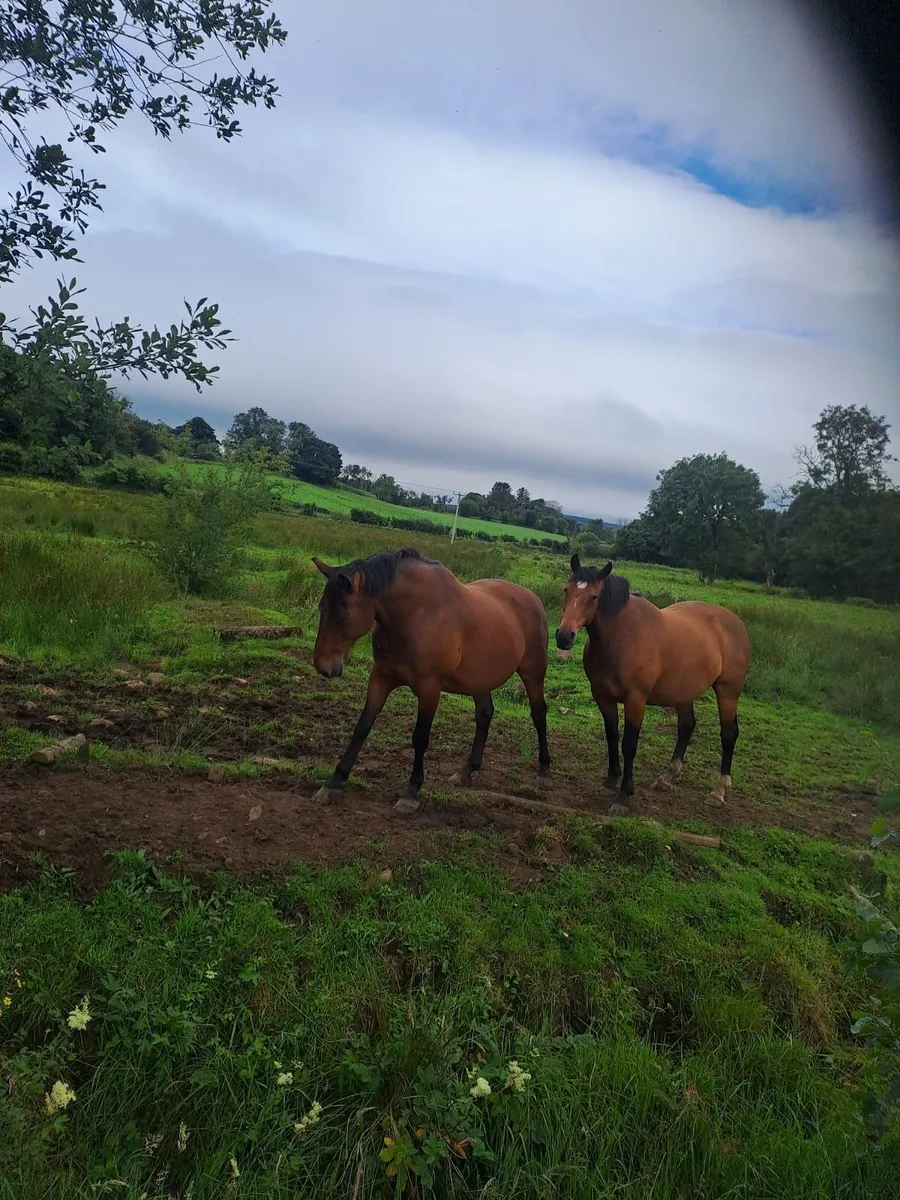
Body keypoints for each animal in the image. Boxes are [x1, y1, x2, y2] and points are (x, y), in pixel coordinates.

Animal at [310, 548, 551, 814]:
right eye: (322, 608)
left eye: (343, 616)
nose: (324, 666)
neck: (415, 614)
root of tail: (534, 598)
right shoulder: (381, 677)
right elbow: (362, 727)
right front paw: (334, 782)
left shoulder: (429, 688)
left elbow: (420, 738)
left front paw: (411, 792)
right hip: (479, 678)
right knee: (485, 714)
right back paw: (467, 770)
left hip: (532, 672)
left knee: (538, 714)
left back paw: (544, 771)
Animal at [555, 556, 750, 814]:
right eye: (566, 589)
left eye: (594, 596)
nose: (564, 637)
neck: (622, 637)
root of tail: (736, 622)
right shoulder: (602, 696)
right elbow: (611, 736)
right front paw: (610, 781)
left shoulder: (636, 700)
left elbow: (629, 744)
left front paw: (624, 796)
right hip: (683, 692)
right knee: (686, 727)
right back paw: (667, 778)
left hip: (728, 692)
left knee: (728, 735)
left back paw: (718, 792)